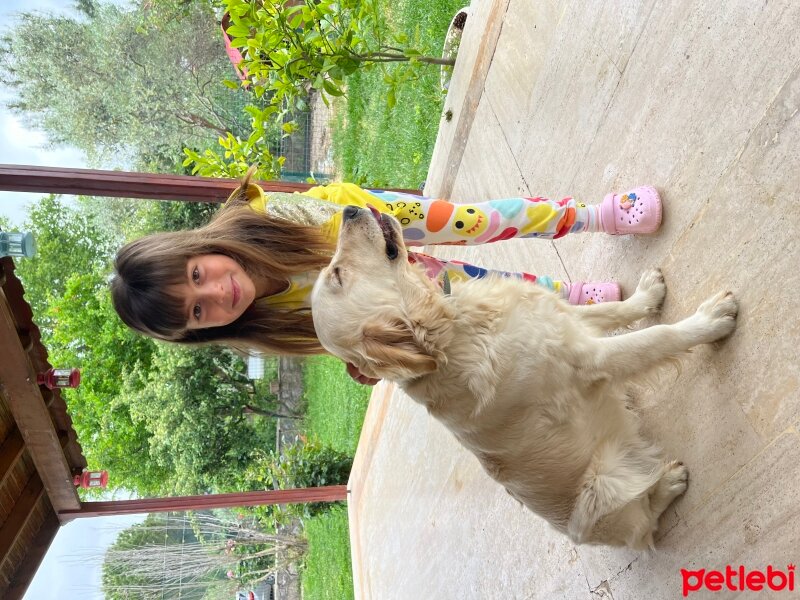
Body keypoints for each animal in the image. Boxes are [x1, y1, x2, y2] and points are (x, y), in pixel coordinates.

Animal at [310, 205, 736, 548]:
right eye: (338, 274)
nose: (349, 209)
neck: (452, 330)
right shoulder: (590, 359)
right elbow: (658, 338)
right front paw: (710, 320)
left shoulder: (563, 317)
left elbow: (614, 310)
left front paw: (647, 295)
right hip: (605, 484)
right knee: (646, 521)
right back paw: (669, 482)